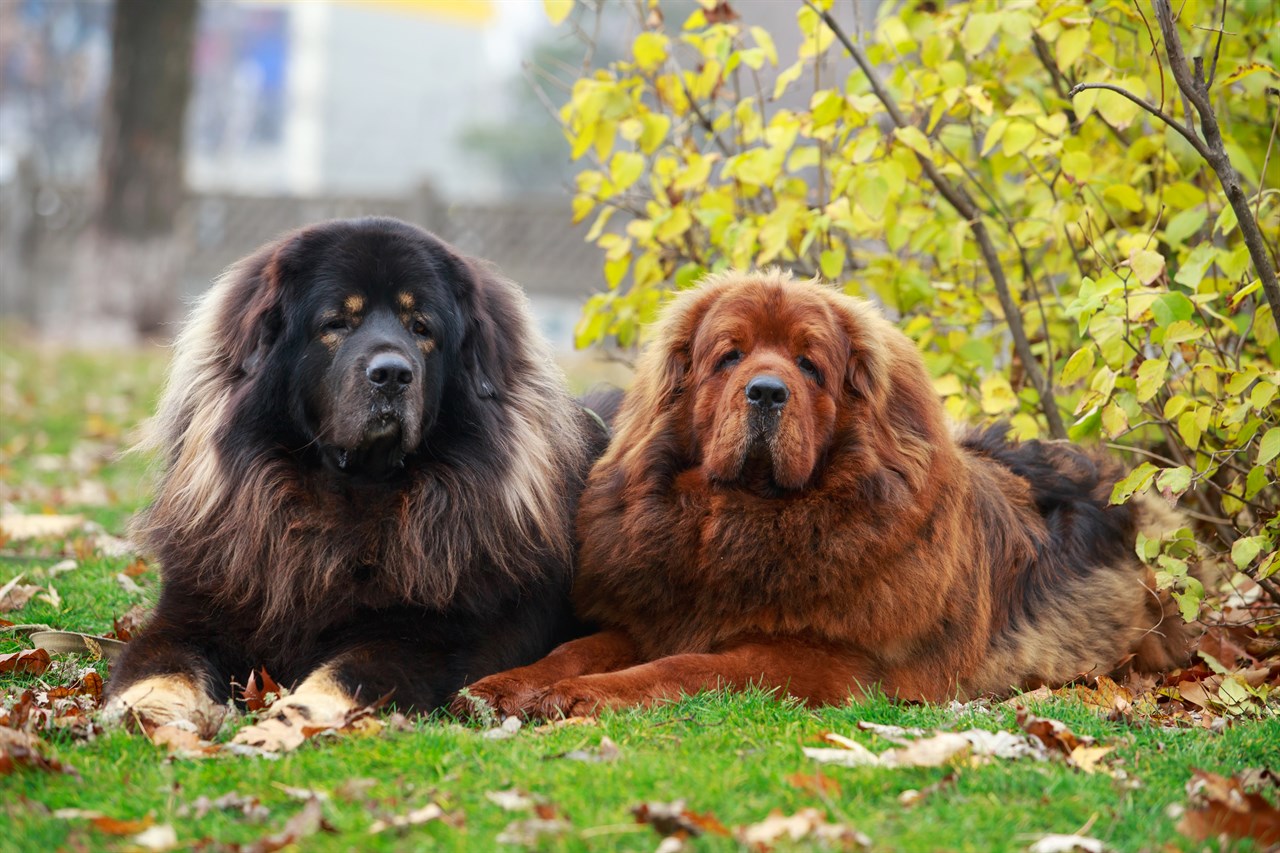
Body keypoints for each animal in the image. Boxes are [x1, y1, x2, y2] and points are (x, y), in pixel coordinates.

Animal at [455, 268, 1192, 712]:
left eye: (809, 365)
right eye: (729, 356)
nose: (765, 391)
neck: (739, 521)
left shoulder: (827, 661)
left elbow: (689, 667)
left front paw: (586, 694)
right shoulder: (651, 615)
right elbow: (573, 648)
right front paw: (502, 686)